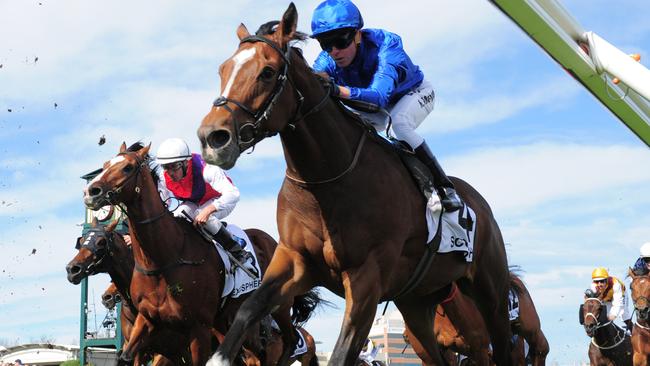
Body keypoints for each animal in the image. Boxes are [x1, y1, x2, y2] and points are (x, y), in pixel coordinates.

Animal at [81, 144, 308, 366]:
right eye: (105, 165)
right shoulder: (147, 320)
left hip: (278, 305)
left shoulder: (198, 328)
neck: (164, 259)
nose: (91, 191)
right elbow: (125, 356)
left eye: (127, 168)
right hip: (228, 319)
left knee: (289, 341)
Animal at [197, 3, 512, 366]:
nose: (212, 138)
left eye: (267, 71)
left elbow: (342, 351)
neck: (324, 182)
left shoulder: (366, 279)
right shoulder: (294, 260)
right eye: (223, 69)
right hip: (417, 304)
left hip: (490, 292)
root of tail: (480, 203)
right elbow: (247, 311)